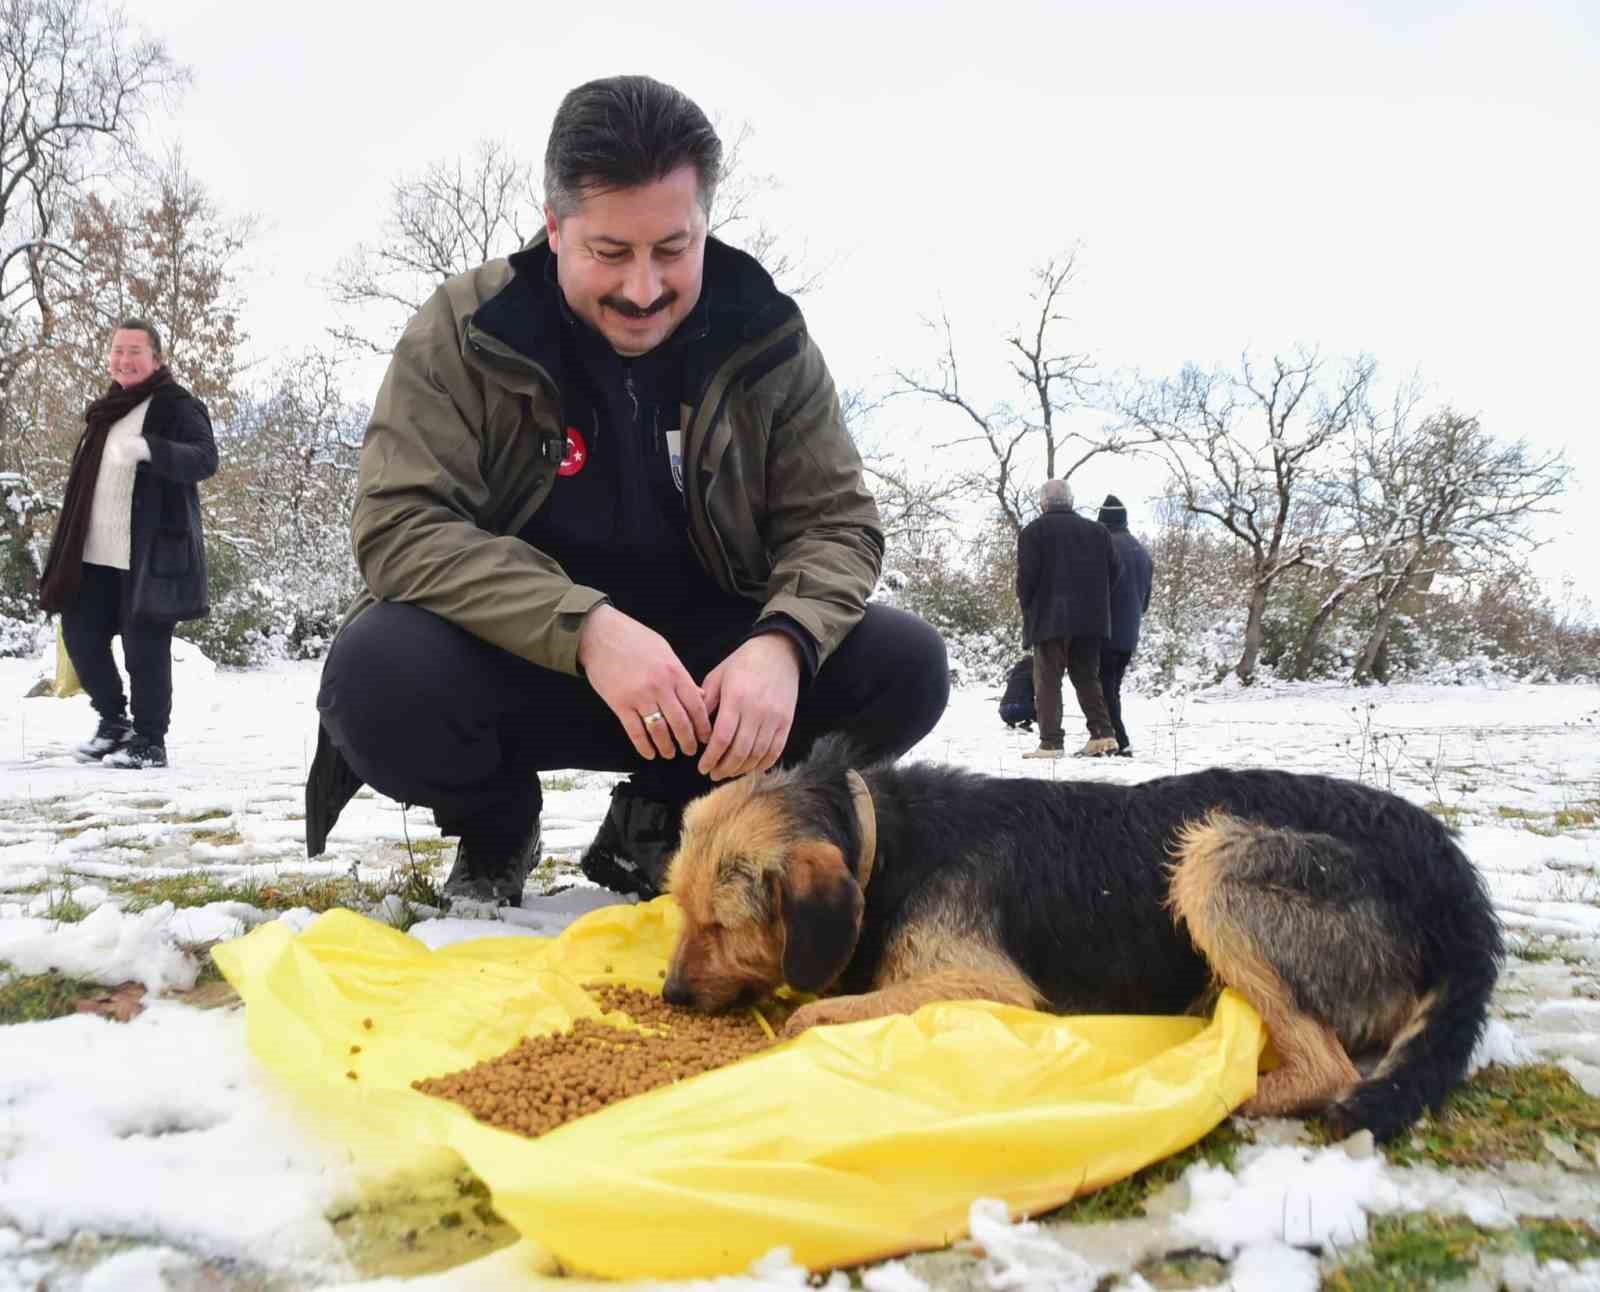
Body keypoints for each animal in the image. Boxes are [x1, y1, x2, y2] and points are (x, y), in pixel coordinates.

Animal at [662, 735, 1497, 1138]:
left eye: (722, 923)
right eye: (680, 910)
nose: (669, 995)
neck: (885, 841)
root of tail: (1451, 876)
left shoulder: (985, 983)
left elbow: (810, 1014)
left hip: (1214, 862)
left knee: (1327, 1068)